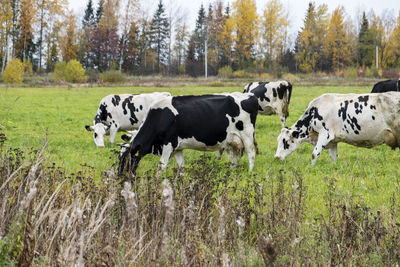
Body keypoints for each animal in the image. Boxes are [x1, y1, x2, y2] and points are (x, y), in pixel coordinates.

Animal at [118, 92, 260, 176]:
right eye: (119, 157)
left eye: (126, 159)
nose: (120, 176)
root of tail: (249, 95)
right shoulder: (177, 148)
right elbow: (181, 166)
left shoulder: (169, 144)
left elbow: (161, 166)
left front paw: (156, 181)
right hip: (233, 139)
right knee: (235, 156)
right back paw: (230, 171)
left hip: (247, 134)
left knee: (251, 154)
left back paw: (249, 173)